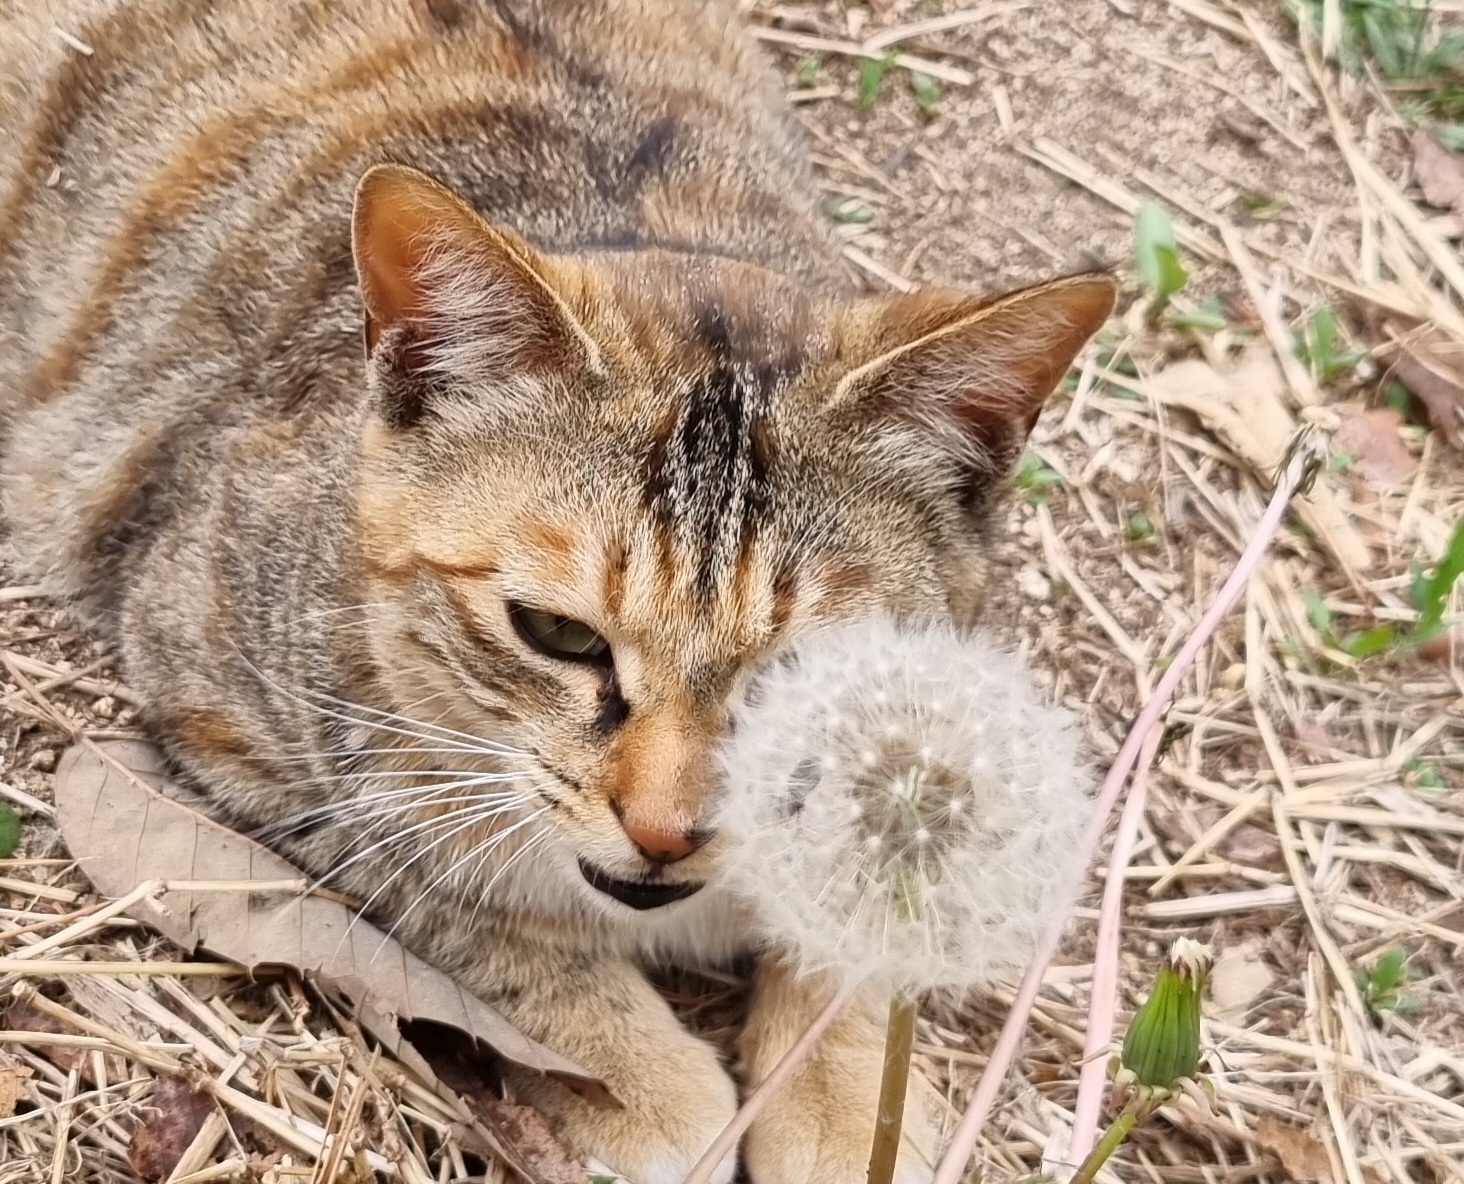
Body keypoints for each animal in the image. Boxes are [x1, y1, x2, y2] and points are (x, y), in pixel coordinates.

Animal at [0, 4, 1106, 1176]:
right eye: (556, 635)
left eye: (809, 673)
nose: (668, 832)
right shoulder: (231, 704)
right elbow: (457, 896)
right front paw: (647, 1074)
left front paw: (844, 1100)